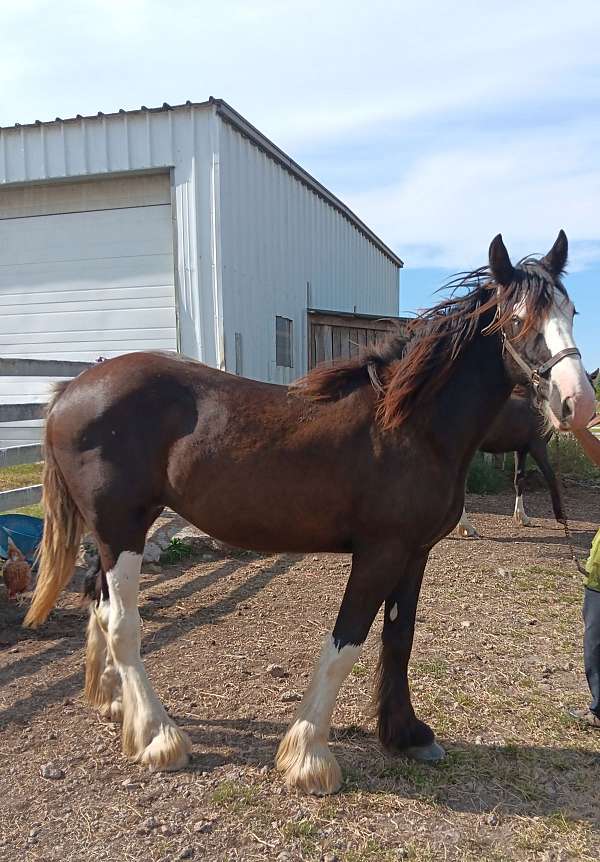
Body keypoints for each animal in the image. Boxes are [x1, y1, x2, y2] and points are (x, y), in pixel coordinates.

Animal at [23, 231, 596, 796]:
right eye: (517, 319)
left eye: (571, 311)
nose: (577, 402)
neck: (411, 426)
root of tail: (70, 391)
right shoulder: (379, 554)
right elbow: (345, 645)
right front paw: (310, 756)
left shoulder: (415, 555)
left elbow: (399, 639)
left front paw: (406, 735)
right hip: (122, 529)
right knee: (123, 624)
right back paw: (159, 737)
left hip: (113, 532)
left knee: (99, 605)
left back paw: (114, 704)